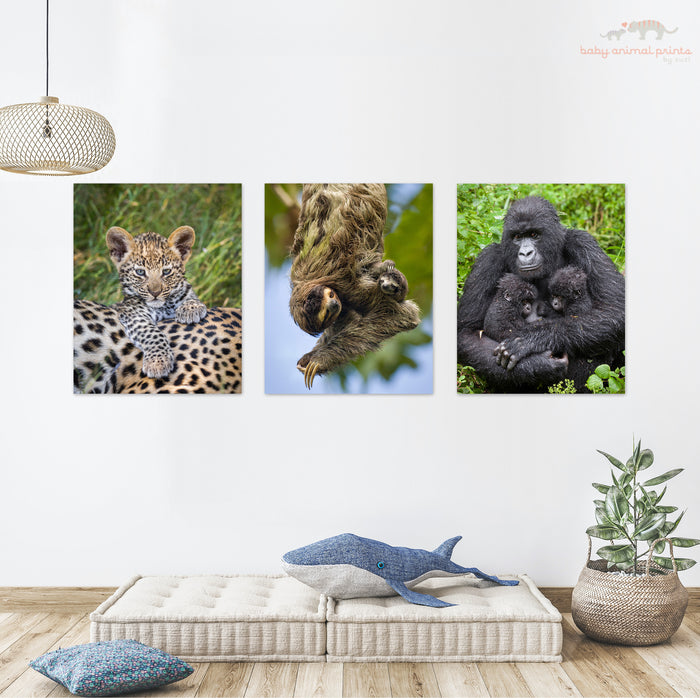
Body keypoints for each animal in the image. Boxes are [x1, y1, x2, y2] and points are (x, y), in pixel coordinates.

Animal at [289, 184, 420, 388]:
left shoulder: (350, 287)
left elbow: (400, 314)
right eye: (327, 314)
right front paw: (308, 358)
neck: (308, 281)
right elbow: (340, 324)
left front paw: (319, 360)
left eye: (330, 295)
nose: (334, 304)